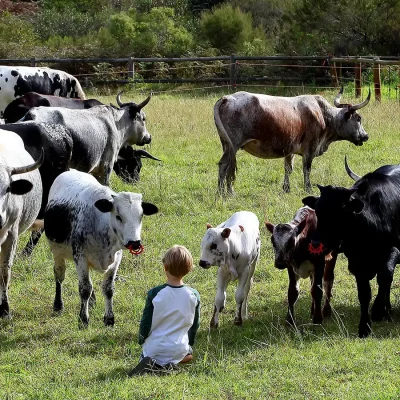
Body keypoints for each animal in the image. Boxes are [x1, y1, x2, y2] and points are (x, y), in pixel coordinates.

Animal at [43, 169, 156, 328]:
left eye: (141, 216)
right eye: (118, 216)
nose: (135, 242)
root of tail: (71, 171)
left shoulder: (116, 259)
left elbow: (108, 289)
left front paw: (109, 319)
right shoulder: (80, 257)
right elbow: (84, 288)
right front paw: (83, 320)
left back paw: (92, 302)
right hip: (57, 254)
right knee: (59, 276)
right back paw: (58, 305)